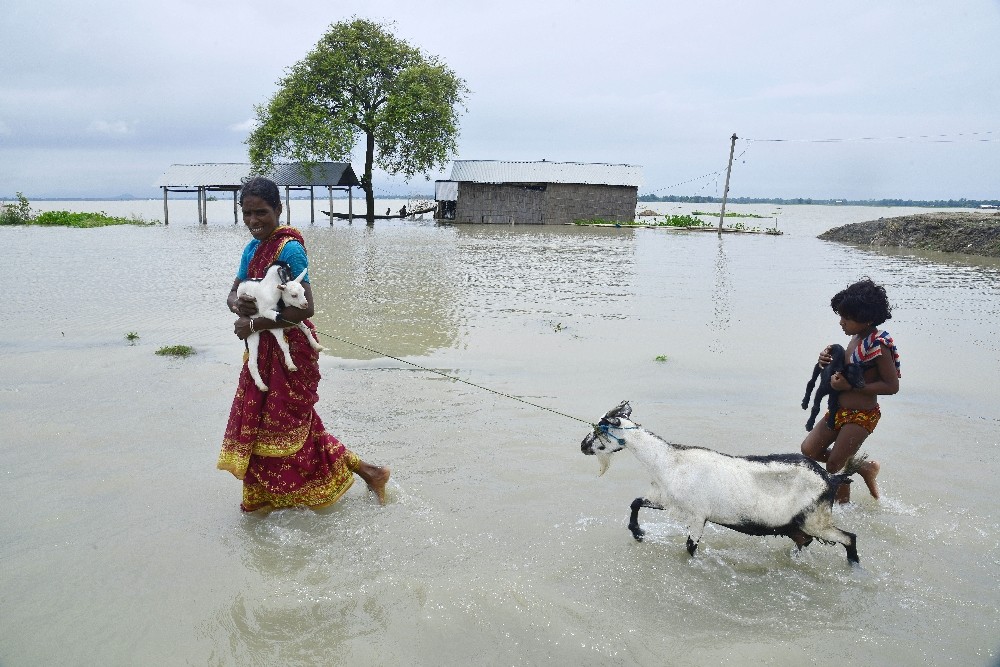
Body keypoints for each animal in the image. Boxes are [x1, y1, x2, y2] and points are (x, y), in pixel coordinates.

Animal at [235, 264, 322, 394]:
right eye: (294, 295)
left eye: (304, 292)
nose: (306, 304)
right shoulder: (276, 328)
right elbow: (284, 345)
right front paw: (291, 365)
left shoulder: (296, 320)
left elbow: (307, 330)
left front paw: (316, 346)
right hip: (252, 334)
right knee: (252, 363)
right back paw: (262, 385)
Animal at [580, 402, 860, 564]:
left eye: (599, 429)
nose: (582, 446)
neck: (668, 461)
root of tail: (830, 479)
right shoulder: (667, 500)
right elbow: (636, 502)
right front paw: (638, 533)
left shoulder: (697, 514)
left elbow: (690, 547)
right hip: (798, 523)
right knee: (805, 541)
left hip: (816, 519)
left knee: (849, 537)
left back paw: (854, 565)